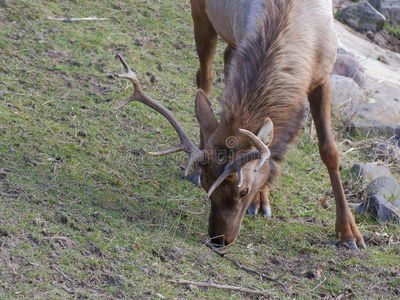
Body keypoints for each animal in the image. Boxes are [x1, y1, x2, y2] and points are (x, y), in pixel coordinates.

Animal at [115, 0, 366, 250]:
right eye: (206, 186)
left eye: (243, 191)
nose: (219, 239)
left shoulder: (323, 76)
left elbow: (329, 151)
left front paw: (350, 233)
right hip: (202, 15)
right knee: (204, 78)